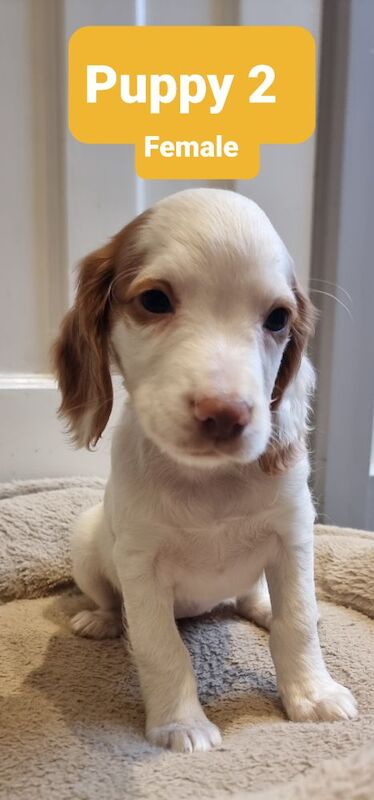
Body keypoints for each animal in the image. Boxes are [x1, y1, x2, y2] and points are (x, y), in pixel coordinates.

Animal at [52, 191, 356, 752]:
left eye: (278, 319)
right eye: (154, 300)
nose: (225, 414)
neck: (208, 482)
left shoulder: (293, 538)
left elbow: (298, 623)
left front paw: (312, 694)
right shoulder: (141, 566)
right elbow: (161, 648)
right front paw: (181, 723)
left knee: (252, 595)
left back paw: (261, 606)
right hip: (86, 543)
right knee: (110, 601)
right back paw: (101, 619)